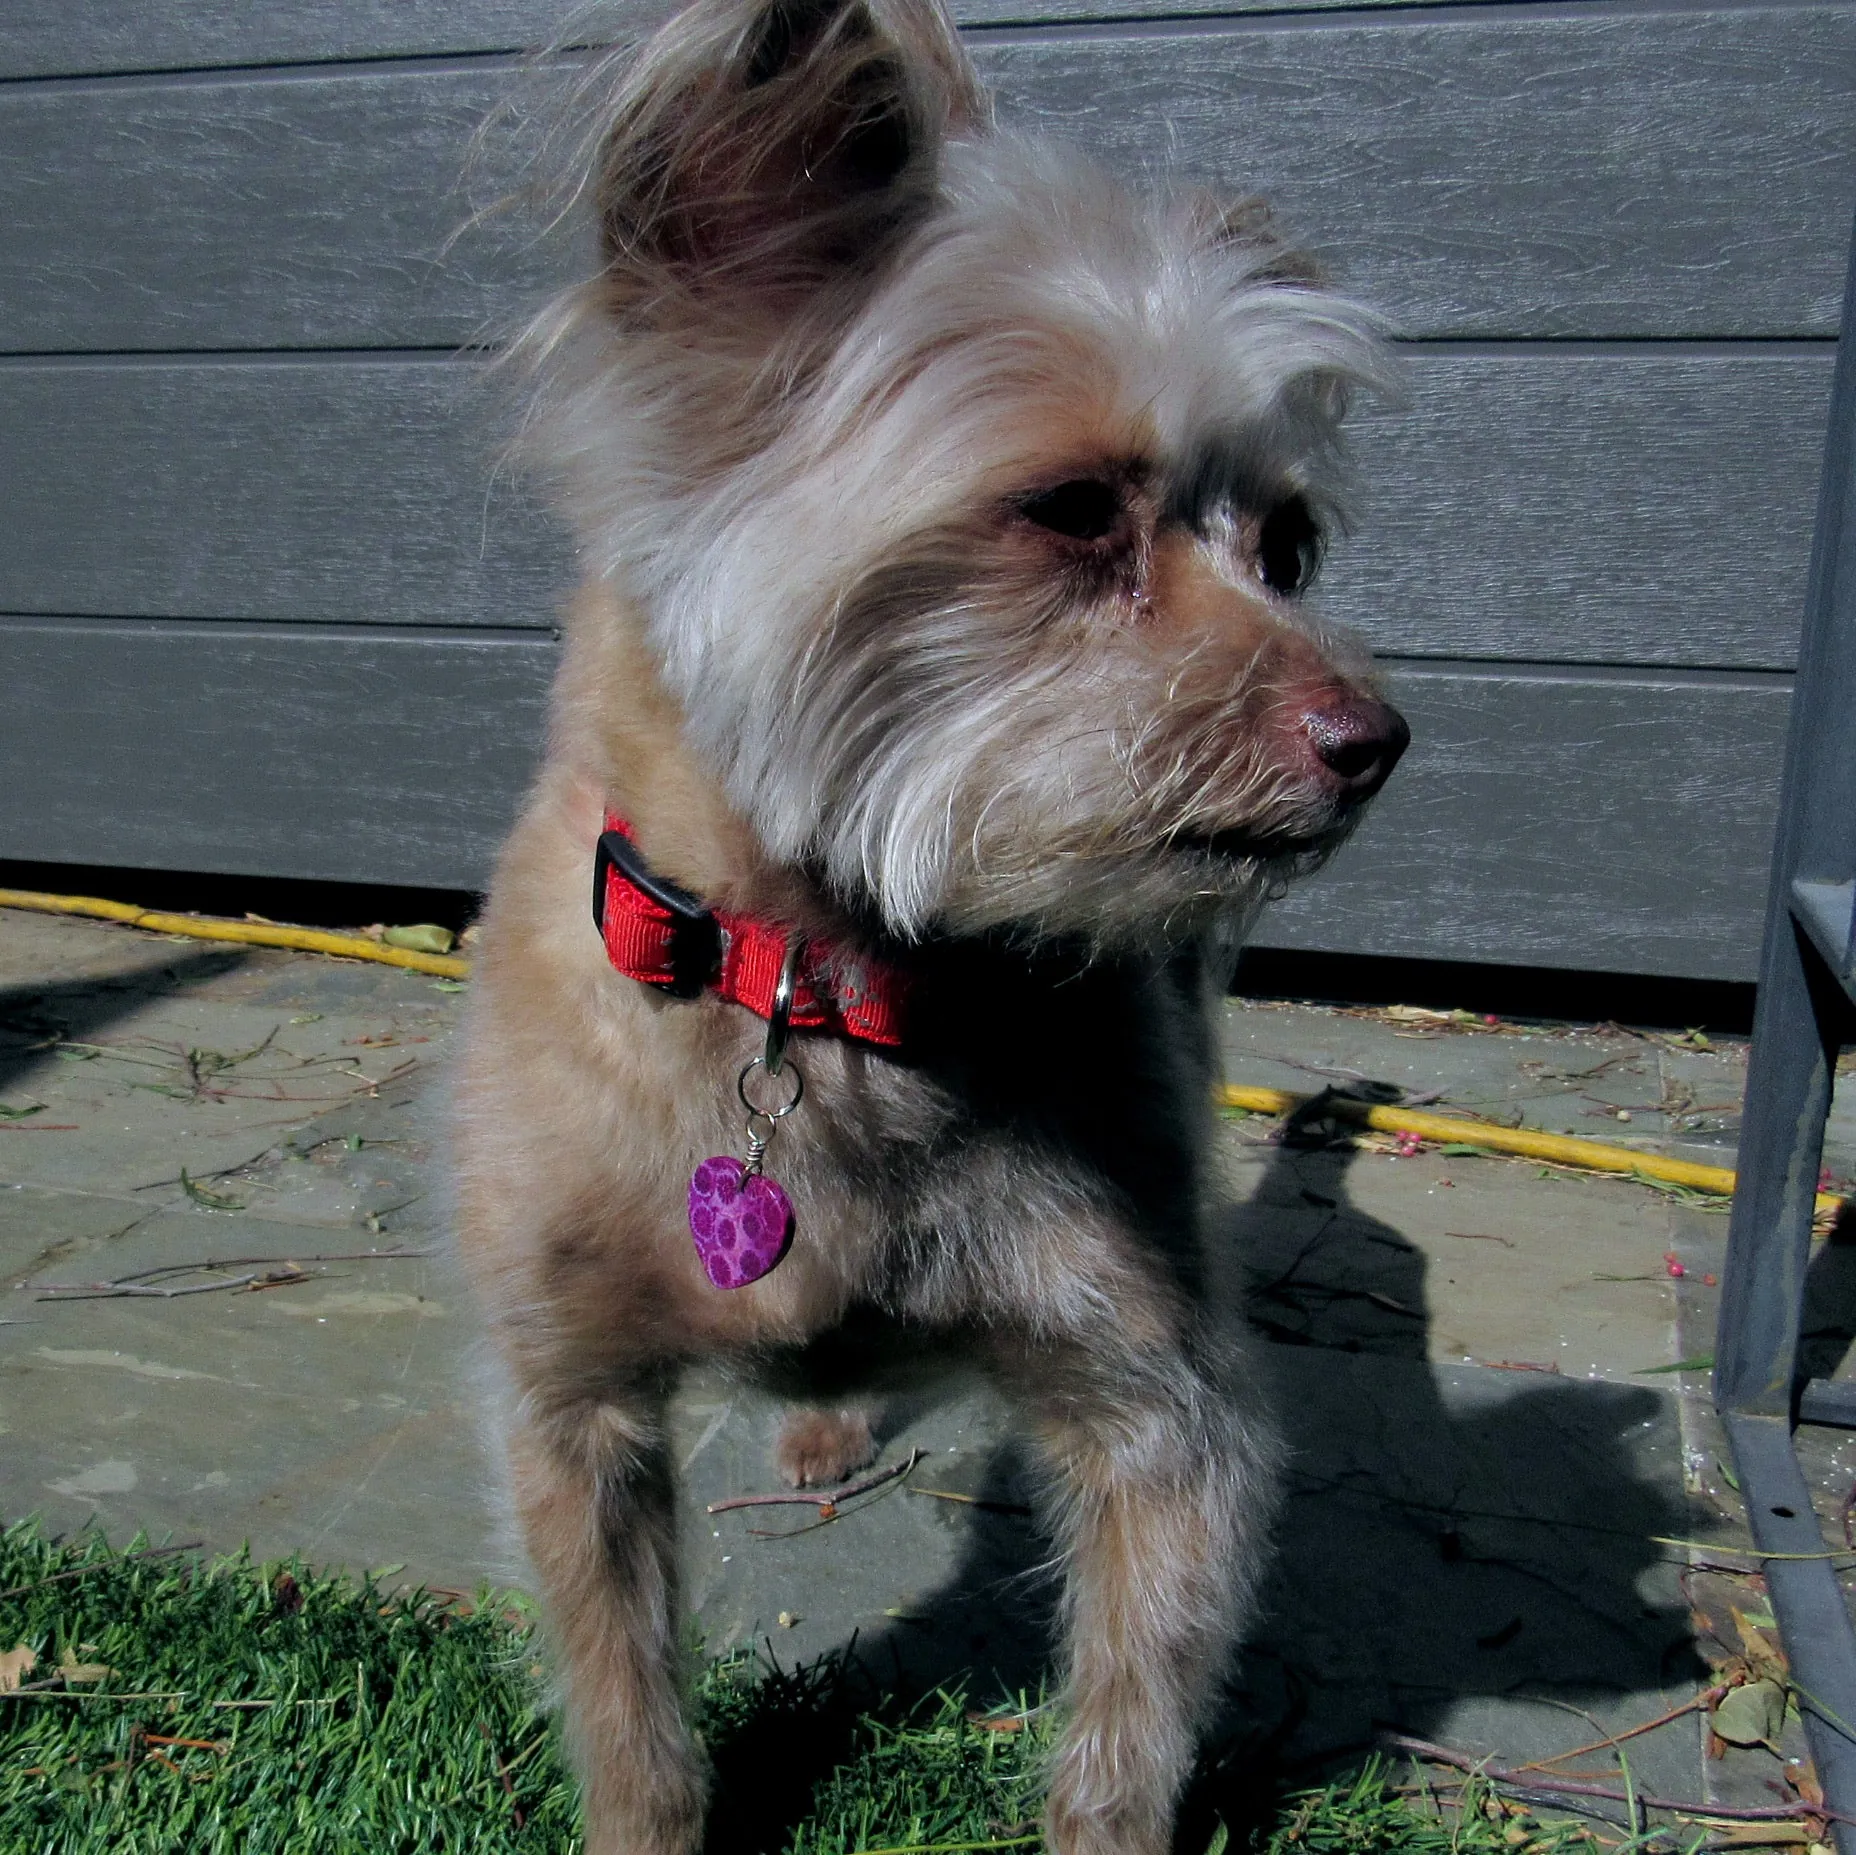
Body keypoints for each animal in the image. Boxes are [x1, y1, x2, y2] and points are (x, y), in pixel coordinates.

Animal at [452, 3, 1403, 1855]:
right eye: (1075, 509)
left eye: (1291, 541)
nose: (1376, 741)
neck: (819, 988)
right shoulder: (567, 1404)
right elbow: (628, 1711)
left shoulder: (1160, 1404)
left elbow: (1125, 1733)